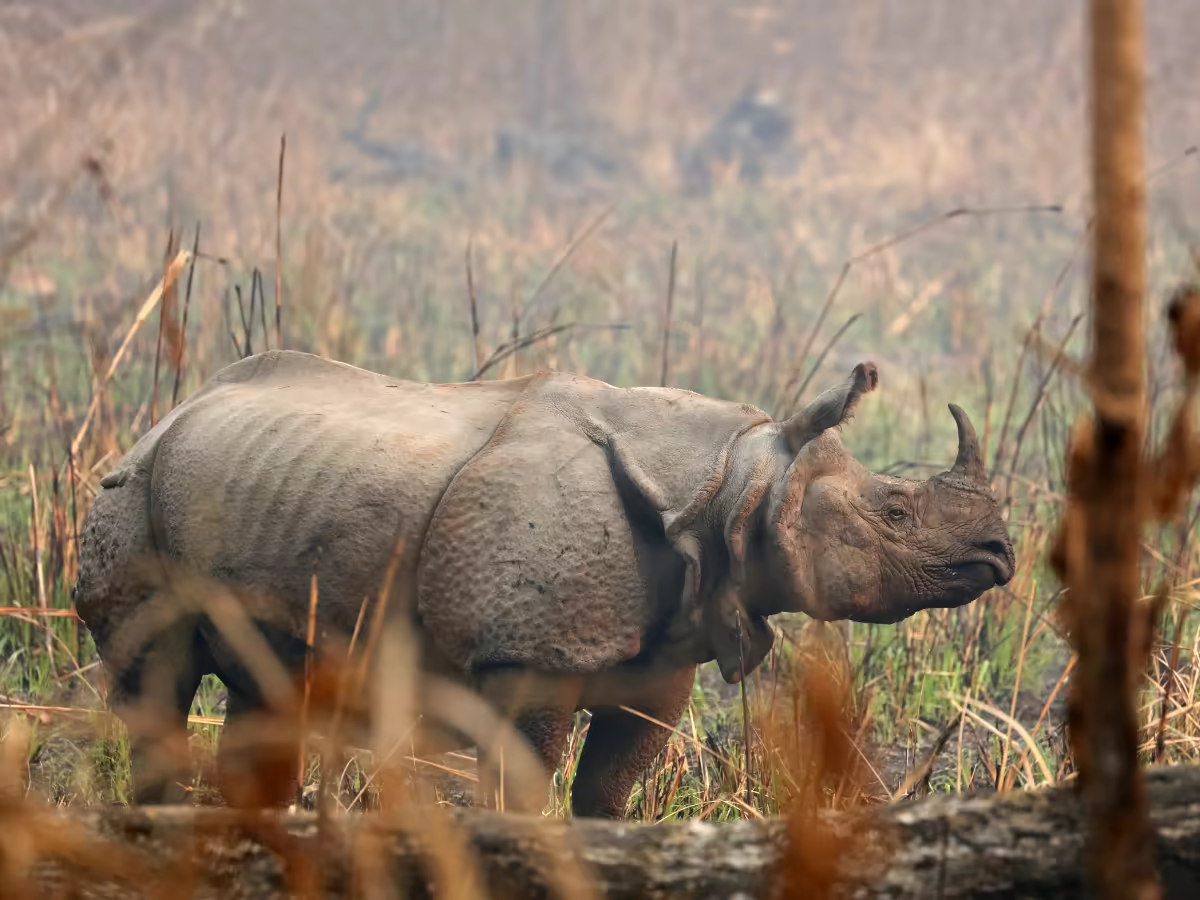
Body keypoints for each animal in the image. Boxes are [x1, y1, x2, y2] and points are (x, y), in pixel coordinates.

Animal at [72, 349, 1014, 817]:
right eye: (895, 510)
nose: (1001, 553)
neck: (732, 482)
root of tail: (166, 417)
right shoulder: (525, 655)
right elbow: (524, 788)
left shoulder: (662, 660)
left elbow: (608, 791)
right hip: (131, 494)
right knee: (156, 678)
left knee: (268, 688)